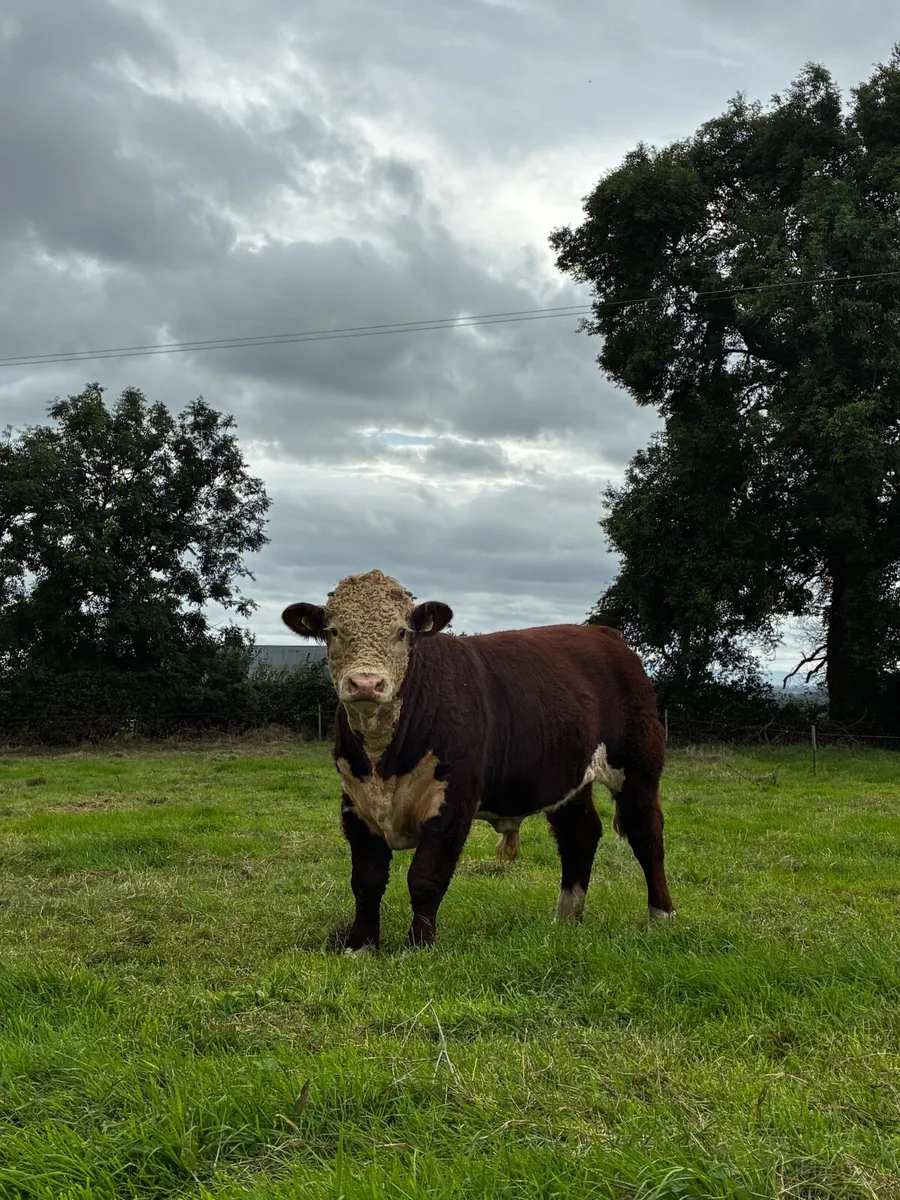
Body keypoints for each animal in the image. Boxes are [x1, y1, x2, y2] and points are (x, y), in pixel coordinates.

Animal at [282, 569, 674, 951]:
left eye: (402, 631)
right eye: (333, 631)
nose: (366, 683)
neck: (384, 763)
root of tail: (605, 635)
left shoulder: (454, 800)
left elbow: (425, 876)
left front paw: (418, 946)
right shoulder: (354, 801)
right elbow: (367, 880)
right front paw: (359, 945)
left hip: (638, 766)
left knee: (646, 832)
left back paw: (661, 916)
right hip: (567, 777)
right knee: (580, 833)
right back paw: (566, 918)